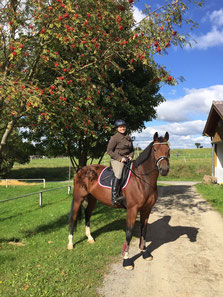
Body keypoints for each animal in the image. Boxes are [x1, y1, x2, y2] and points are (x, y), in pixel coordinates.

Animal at [67, 131, 170, 270]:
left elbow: (144, 230)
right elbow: (129, 233)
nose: (164, 170)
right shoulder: (132, 210)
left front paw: (145, 253)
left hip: (93, 199)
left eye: (168, 150)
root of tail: (81, 170)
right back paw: (70, 244)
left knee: (87, 214)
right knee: (73, 217)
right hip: (79, 198)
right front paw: (126, 260)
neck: (143, 180)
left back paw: (90, 238)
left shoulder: (146, 209)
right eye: (154, 150)